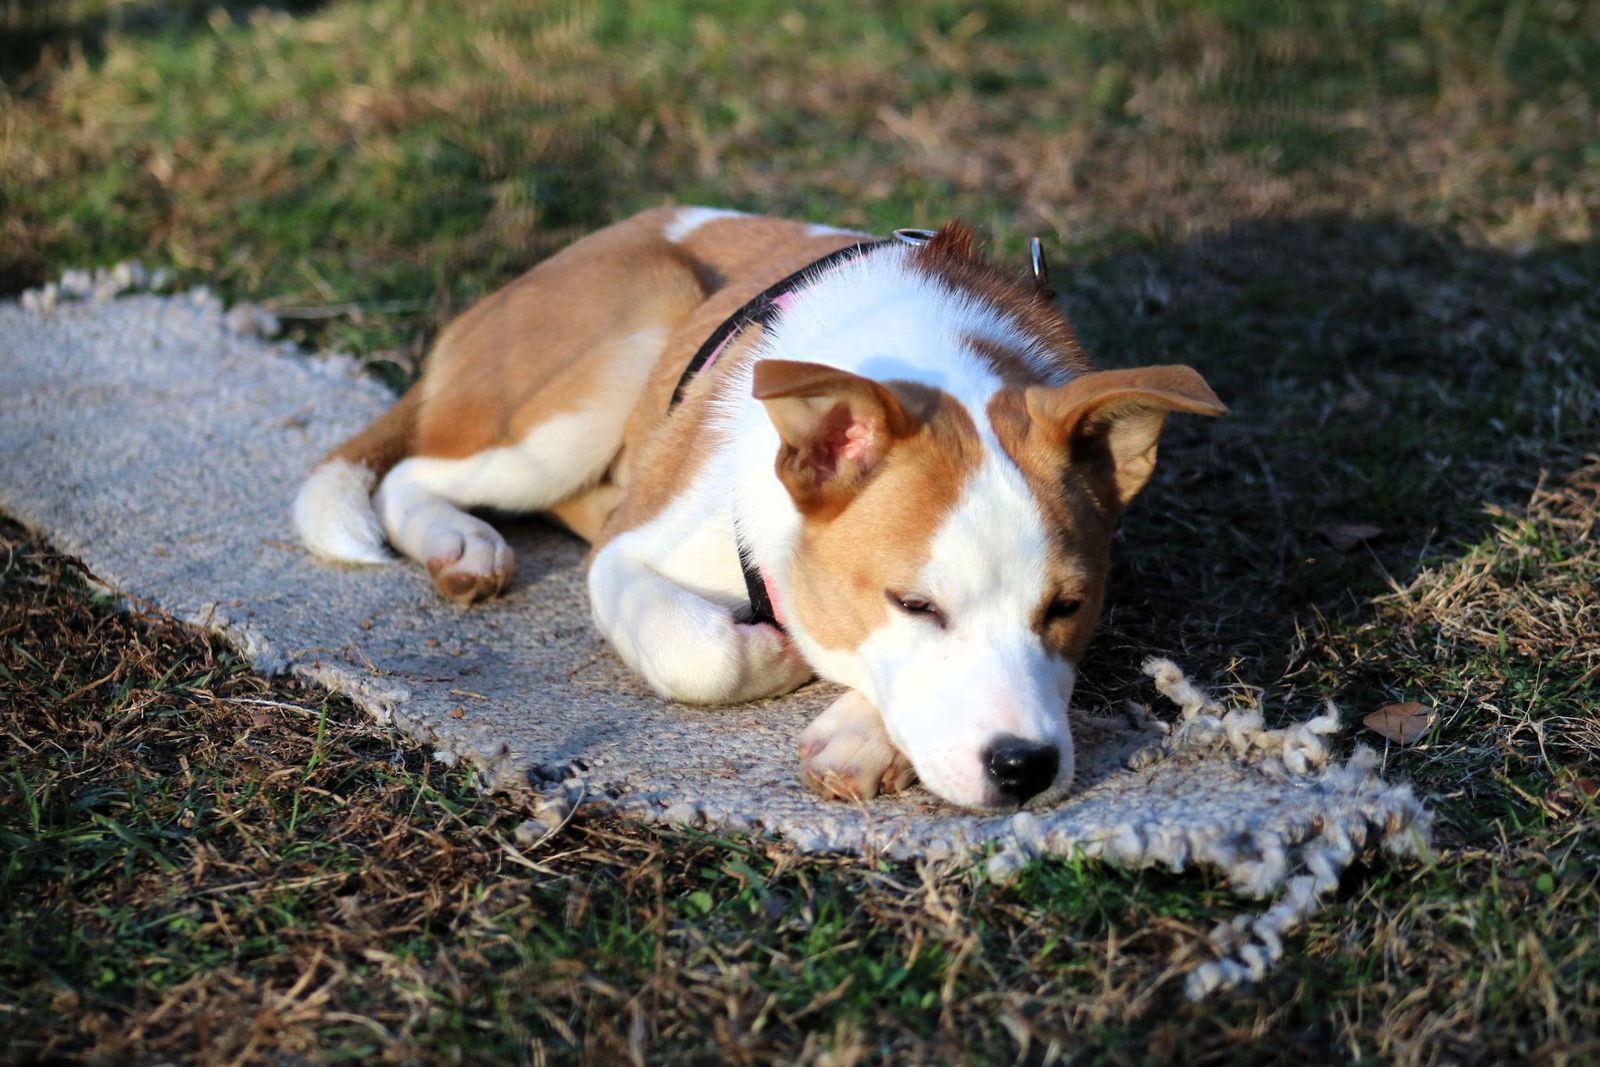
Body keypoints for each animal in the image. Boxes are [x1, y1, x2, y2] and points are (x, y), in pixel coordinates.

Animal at [297, 206, 1222, 809]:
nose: (1024, 768)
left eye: (1068, 606)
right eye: (914, 603)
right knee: (411, 471)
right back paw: (460, 542)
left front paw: (861, 731)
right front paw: (780, 657)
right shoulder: (628, 554)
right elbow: (694, 650)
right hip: (595, 371)